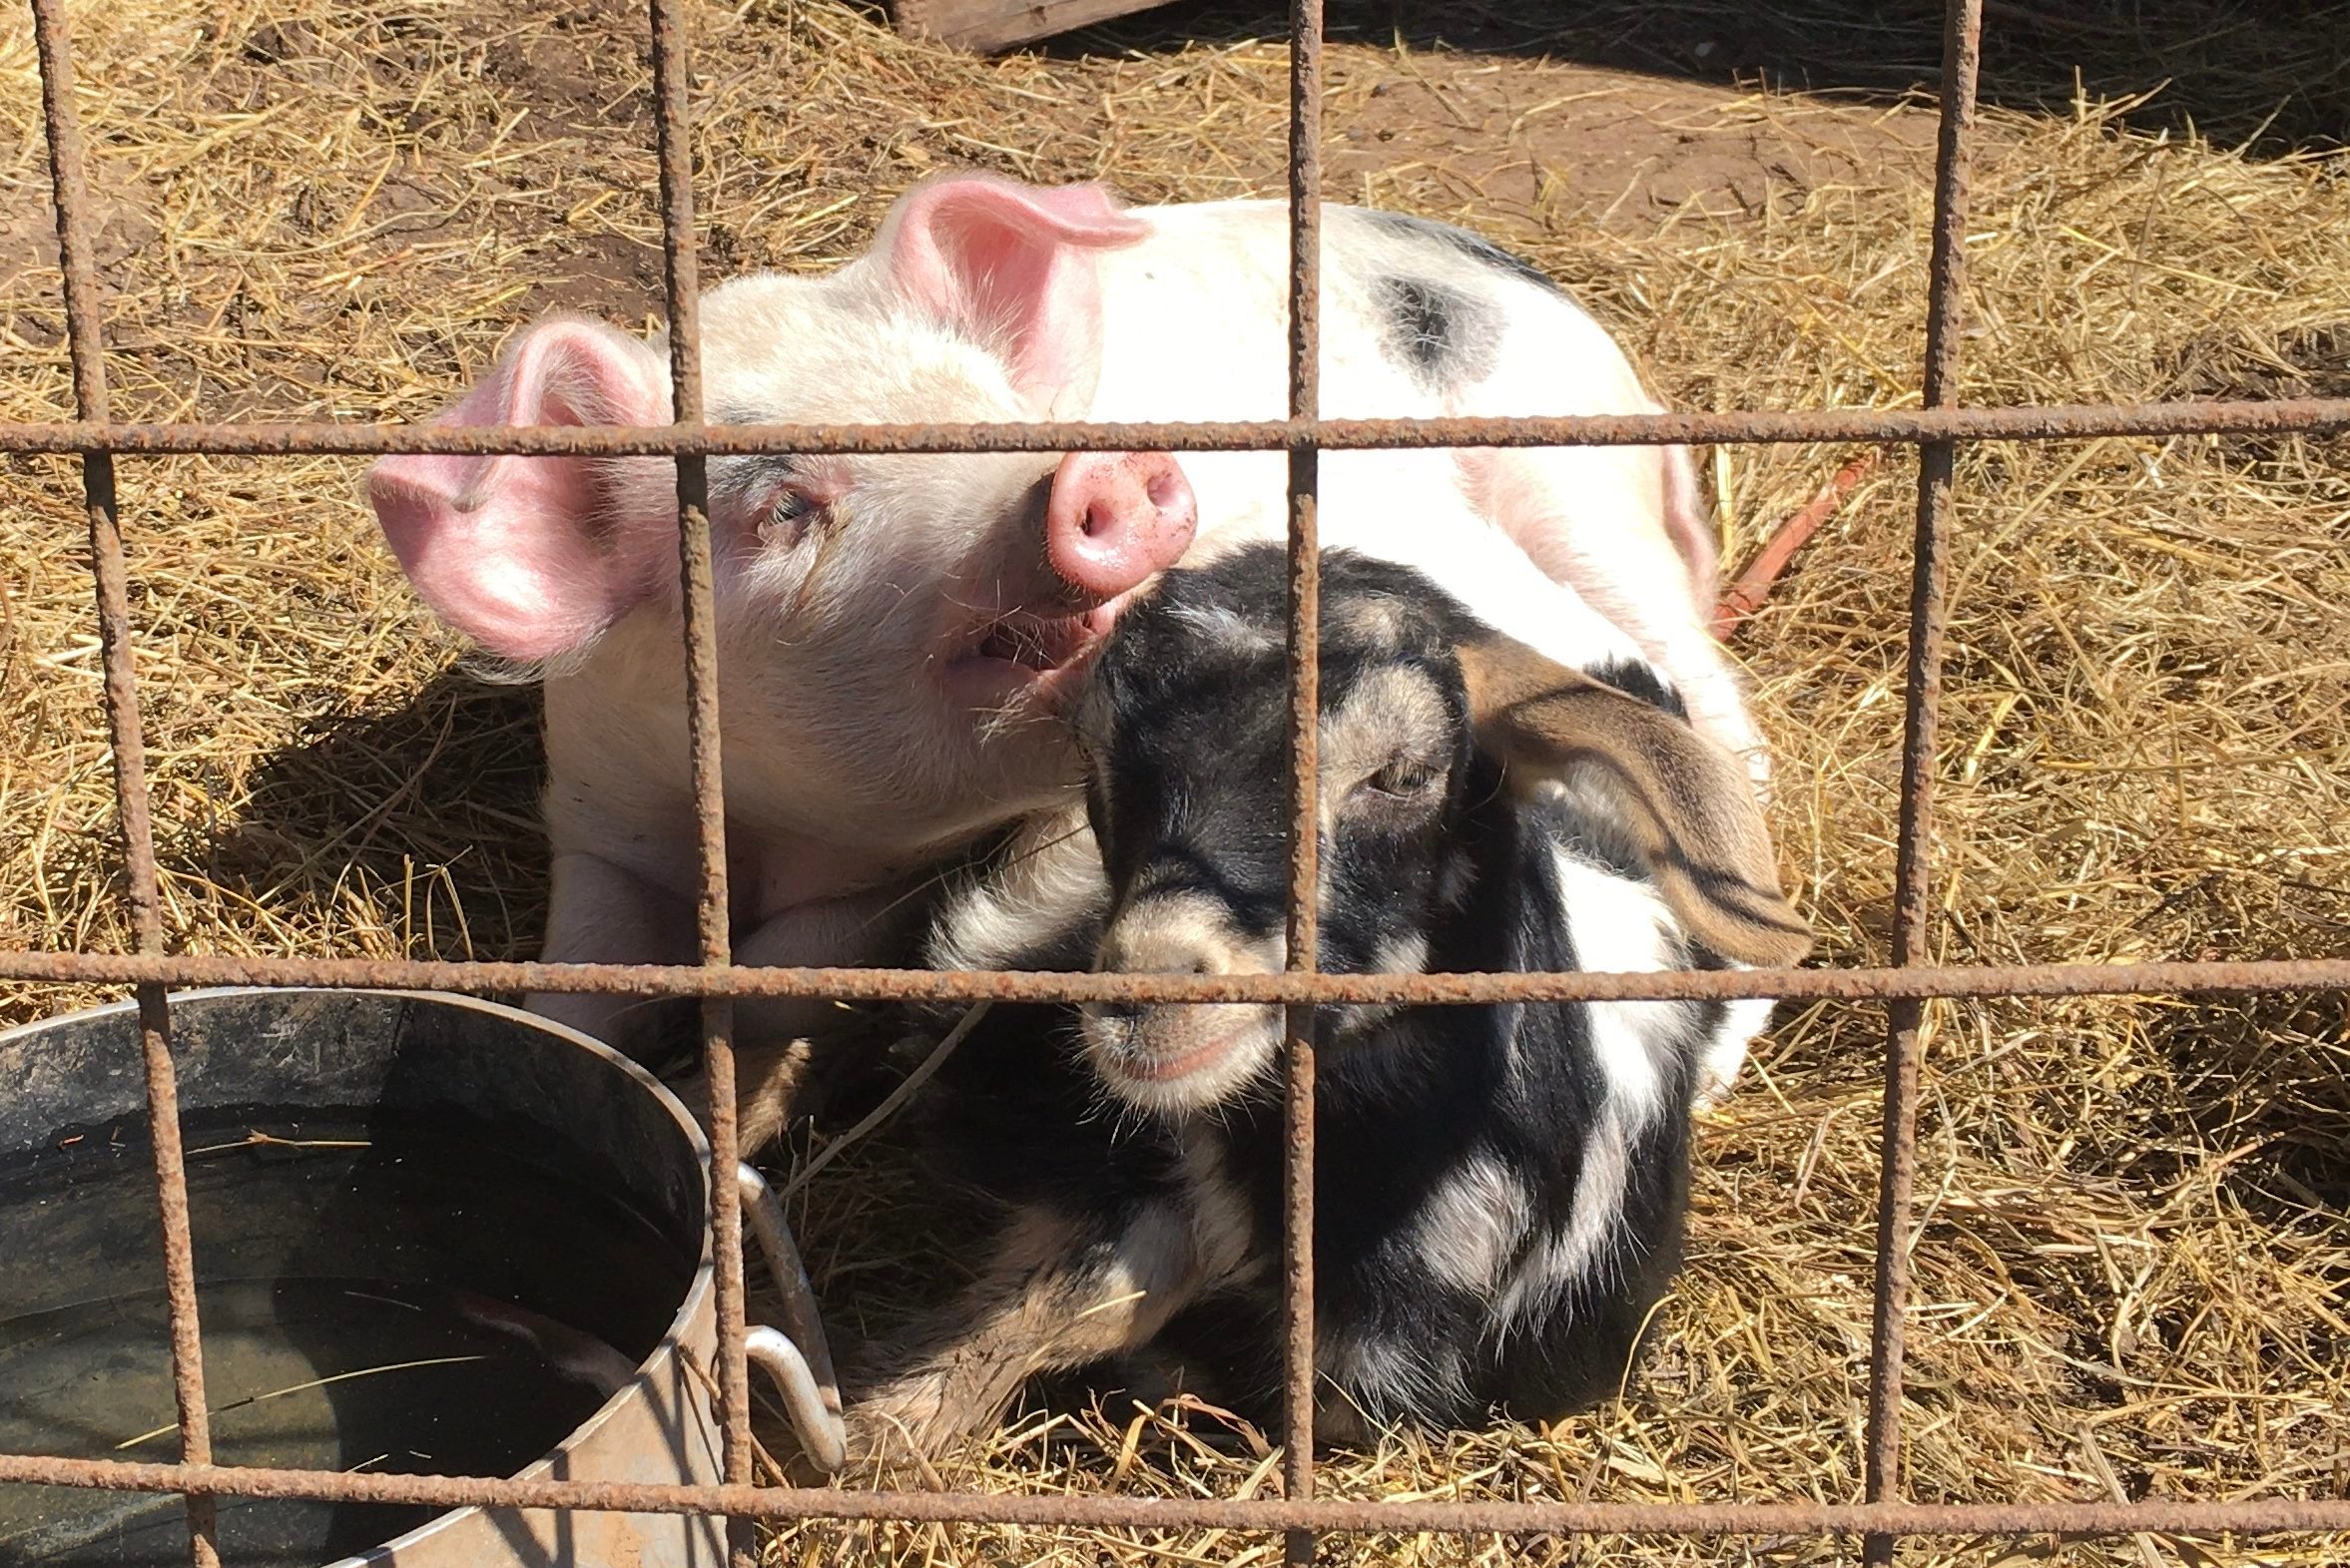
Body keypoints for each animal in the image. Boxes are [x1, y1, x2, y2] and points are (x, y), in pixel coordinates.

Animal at [366, 173, 1764, 1056]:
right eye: (779, 506)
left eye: (991, 413)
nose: (1102, 470)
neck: (763, 828)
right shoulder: (600, 802)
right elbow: (579, 972)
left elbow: (796, 959)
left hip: (1574, 489)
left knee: (1718, 721)